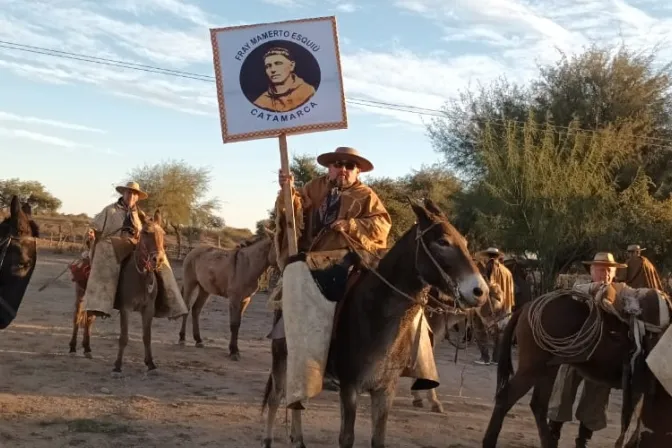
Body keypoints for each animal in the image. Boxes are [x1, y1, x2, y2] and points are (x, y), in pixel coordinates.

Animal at [111, 209, 167, 374]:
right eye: (146, 232)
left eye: (163, 233)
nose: (158, 259)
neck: (141, 278)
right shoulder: (126, 308)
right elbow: (124, 337)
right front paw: (118, 365)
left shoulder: (148, 309)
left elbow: (147, 337)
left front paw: (150, 363)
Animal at [177, 229, 276, 362]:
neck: (248, 265)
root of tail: (194, 250)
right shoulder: (234, 299)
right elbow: (234, 324)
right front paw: (234, 352)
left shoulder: (245, 300)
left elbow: (238, 324)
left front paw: (234, 350)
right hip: (190, 284)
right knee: (187, 308)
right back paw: (182, 338)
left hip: (204, 289)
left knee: (196, 309)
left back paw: (198, 340)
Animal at [258, 200, 488, 448]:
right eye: (443, 242)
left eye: (465, 242)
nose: (480, 291)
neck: (377, 315)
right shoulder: (350, 387)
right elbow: (346, 438)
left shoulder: (385, 390)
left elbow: (378, 439)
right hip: (283, 356)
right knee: (276, 397)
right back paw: (268, 439)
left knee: (297, 399)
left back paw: (298, 439)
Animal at [484, 284, 668, 448]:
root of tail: (527, 306)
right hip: (532, 368)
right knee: (506, 398)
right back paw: (489, 442)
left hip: (549, 369)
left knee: (538, 404)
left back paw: (549, 443)